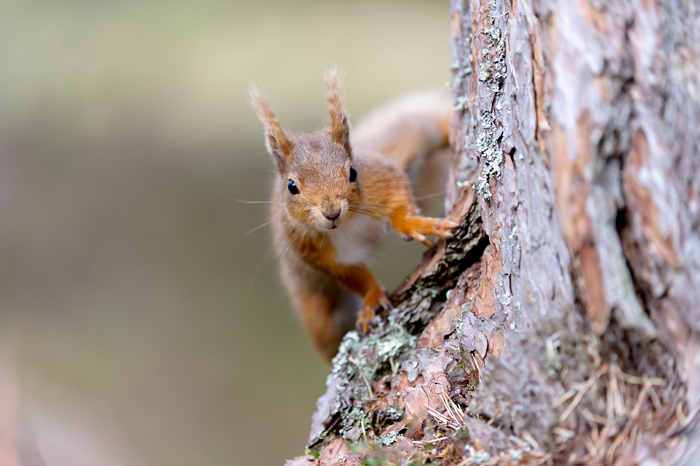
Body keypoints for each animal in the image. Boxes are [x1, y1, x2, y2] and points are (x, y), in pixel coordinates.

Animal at [250, 70, 454, 360]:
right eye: (291, 186)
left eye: (353, 172)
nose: (331, 212)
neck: (348, 224)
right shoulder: (313, 249)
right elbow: (353, 274)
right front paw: (371, 299)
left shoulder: (382, 178)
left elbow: (399, 199)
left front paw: (413, 223)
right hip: (319, 312)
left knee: (423, 125)